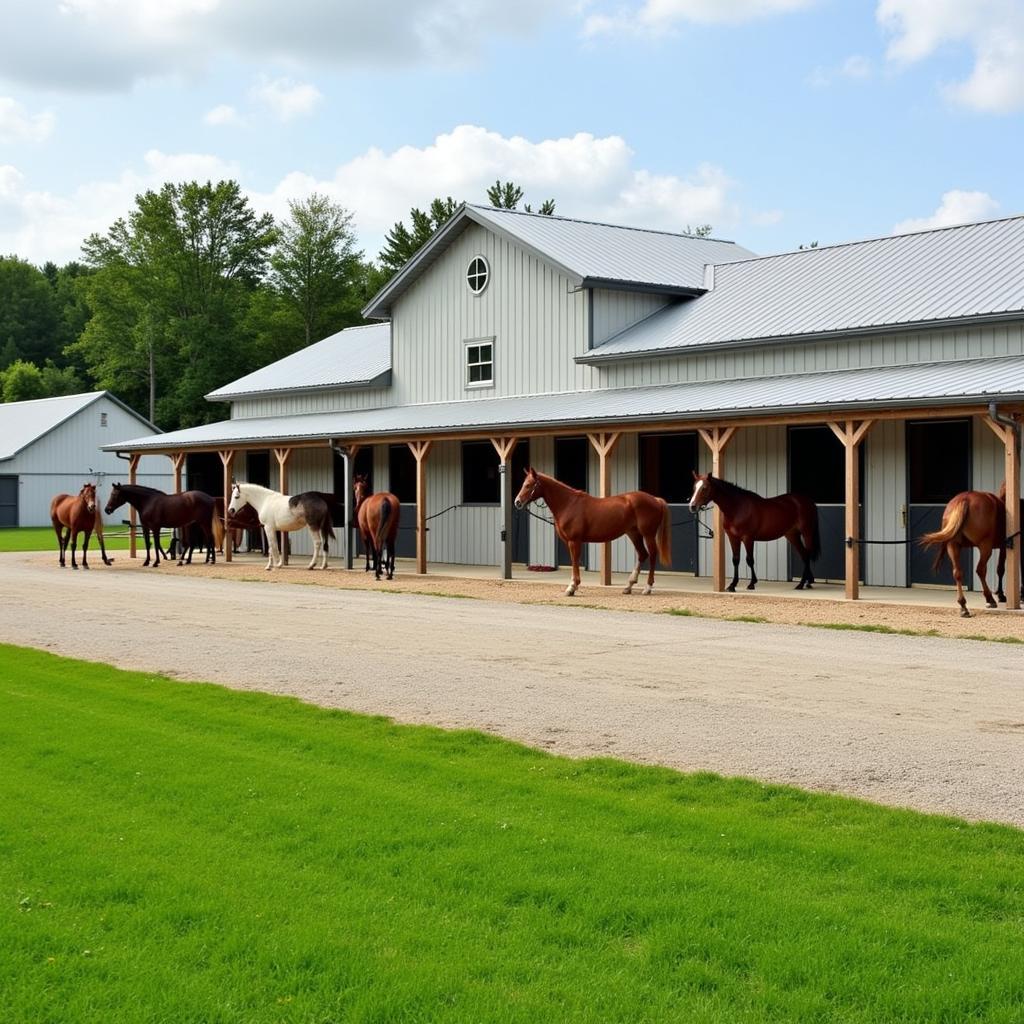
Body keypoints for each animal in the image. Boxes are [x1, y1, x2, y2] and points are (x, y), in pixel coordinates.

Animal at [512, 466, 671, 598]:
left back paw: (647, 588)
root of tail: (656, 500)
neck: (568, 504)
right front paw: (572, 586)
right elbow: (574, 561)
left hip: (647, 534)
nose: (517, 502)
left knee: (652, 555)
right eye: (524, 484)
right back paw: (628, 586)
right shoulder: (570, 542)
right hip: (633, 534)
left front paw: (572, 588)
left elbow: (575, 561)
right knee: (642, 554)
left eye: (528, 485)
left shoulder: (574, 541)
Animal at [688, 471, 823, 593]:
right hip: (792, 535)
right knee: (804, 555)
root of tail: (807, 501)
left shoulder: (748, 538)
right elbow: (735, 560)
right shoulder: (733, 538)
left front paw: (752, 583)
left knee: (807, 554)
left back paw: (801, 584)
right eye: (694, 488)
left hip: (807, 532)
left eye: (704, 488)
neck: (737, 507)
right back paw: (807, 582)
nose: (692, 506)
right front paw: (732, 585)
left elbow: (750, 559)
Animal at [917, 485, 1019, 618]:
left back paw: (963, 606)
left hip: (953, 546)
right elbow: (1000, 569)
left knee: (957, 572)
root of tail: (965, 499)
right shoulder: (1003, 547)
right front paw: (1001, 595)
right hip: (985, 547)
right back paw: (989, 599)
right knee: (980, 570)